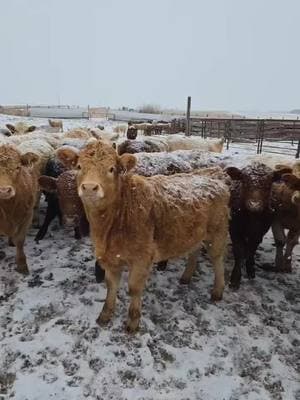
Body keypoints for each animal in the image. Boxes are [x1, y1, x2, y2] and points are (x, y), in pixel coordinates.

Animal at [225, 162, 290, 290]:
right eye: (244, 182)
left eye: (268, 185)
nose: (254, 205)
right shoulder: (234, 229)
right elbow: (238, 251)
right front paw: (235, 279)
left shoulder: (260, 232)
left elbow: (252, 249)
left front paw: (250, 269)